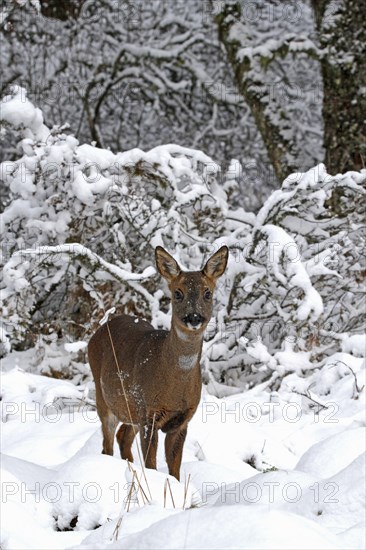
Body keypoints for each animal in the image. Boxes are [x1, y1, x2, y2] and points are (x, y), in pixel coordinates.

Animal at [87, 247, 227, 484]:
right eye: (178, 293)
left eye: (207, 293)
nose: (194, 317)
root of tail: (97, 332)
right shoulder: (149, 413)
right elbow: (151, 465)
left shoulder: (182, 420)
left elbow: (175, 470)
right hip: (104, 397)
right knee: (107, 445)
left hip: (131, 409)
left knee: (122, 437)